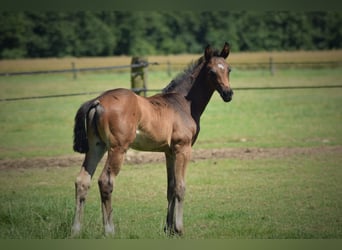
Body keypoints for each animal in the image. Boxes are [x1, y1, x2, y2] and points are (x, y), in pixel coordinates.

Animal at [71, 43, 234, 236]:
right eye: (211, 71)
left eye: (229, 69)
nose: (228, 94)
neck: (182, 103)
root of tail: (97, 101)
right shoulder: (183, 148)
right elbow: (180, 187)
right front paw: (179, 228)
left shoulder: (169, 152)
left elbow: (171, 187)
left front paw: (168, 228)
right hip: (117, 148)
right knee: (106, 182)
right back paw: (110, 230)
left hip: (97, 146)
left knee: (82, 181)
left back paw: (75, 230)